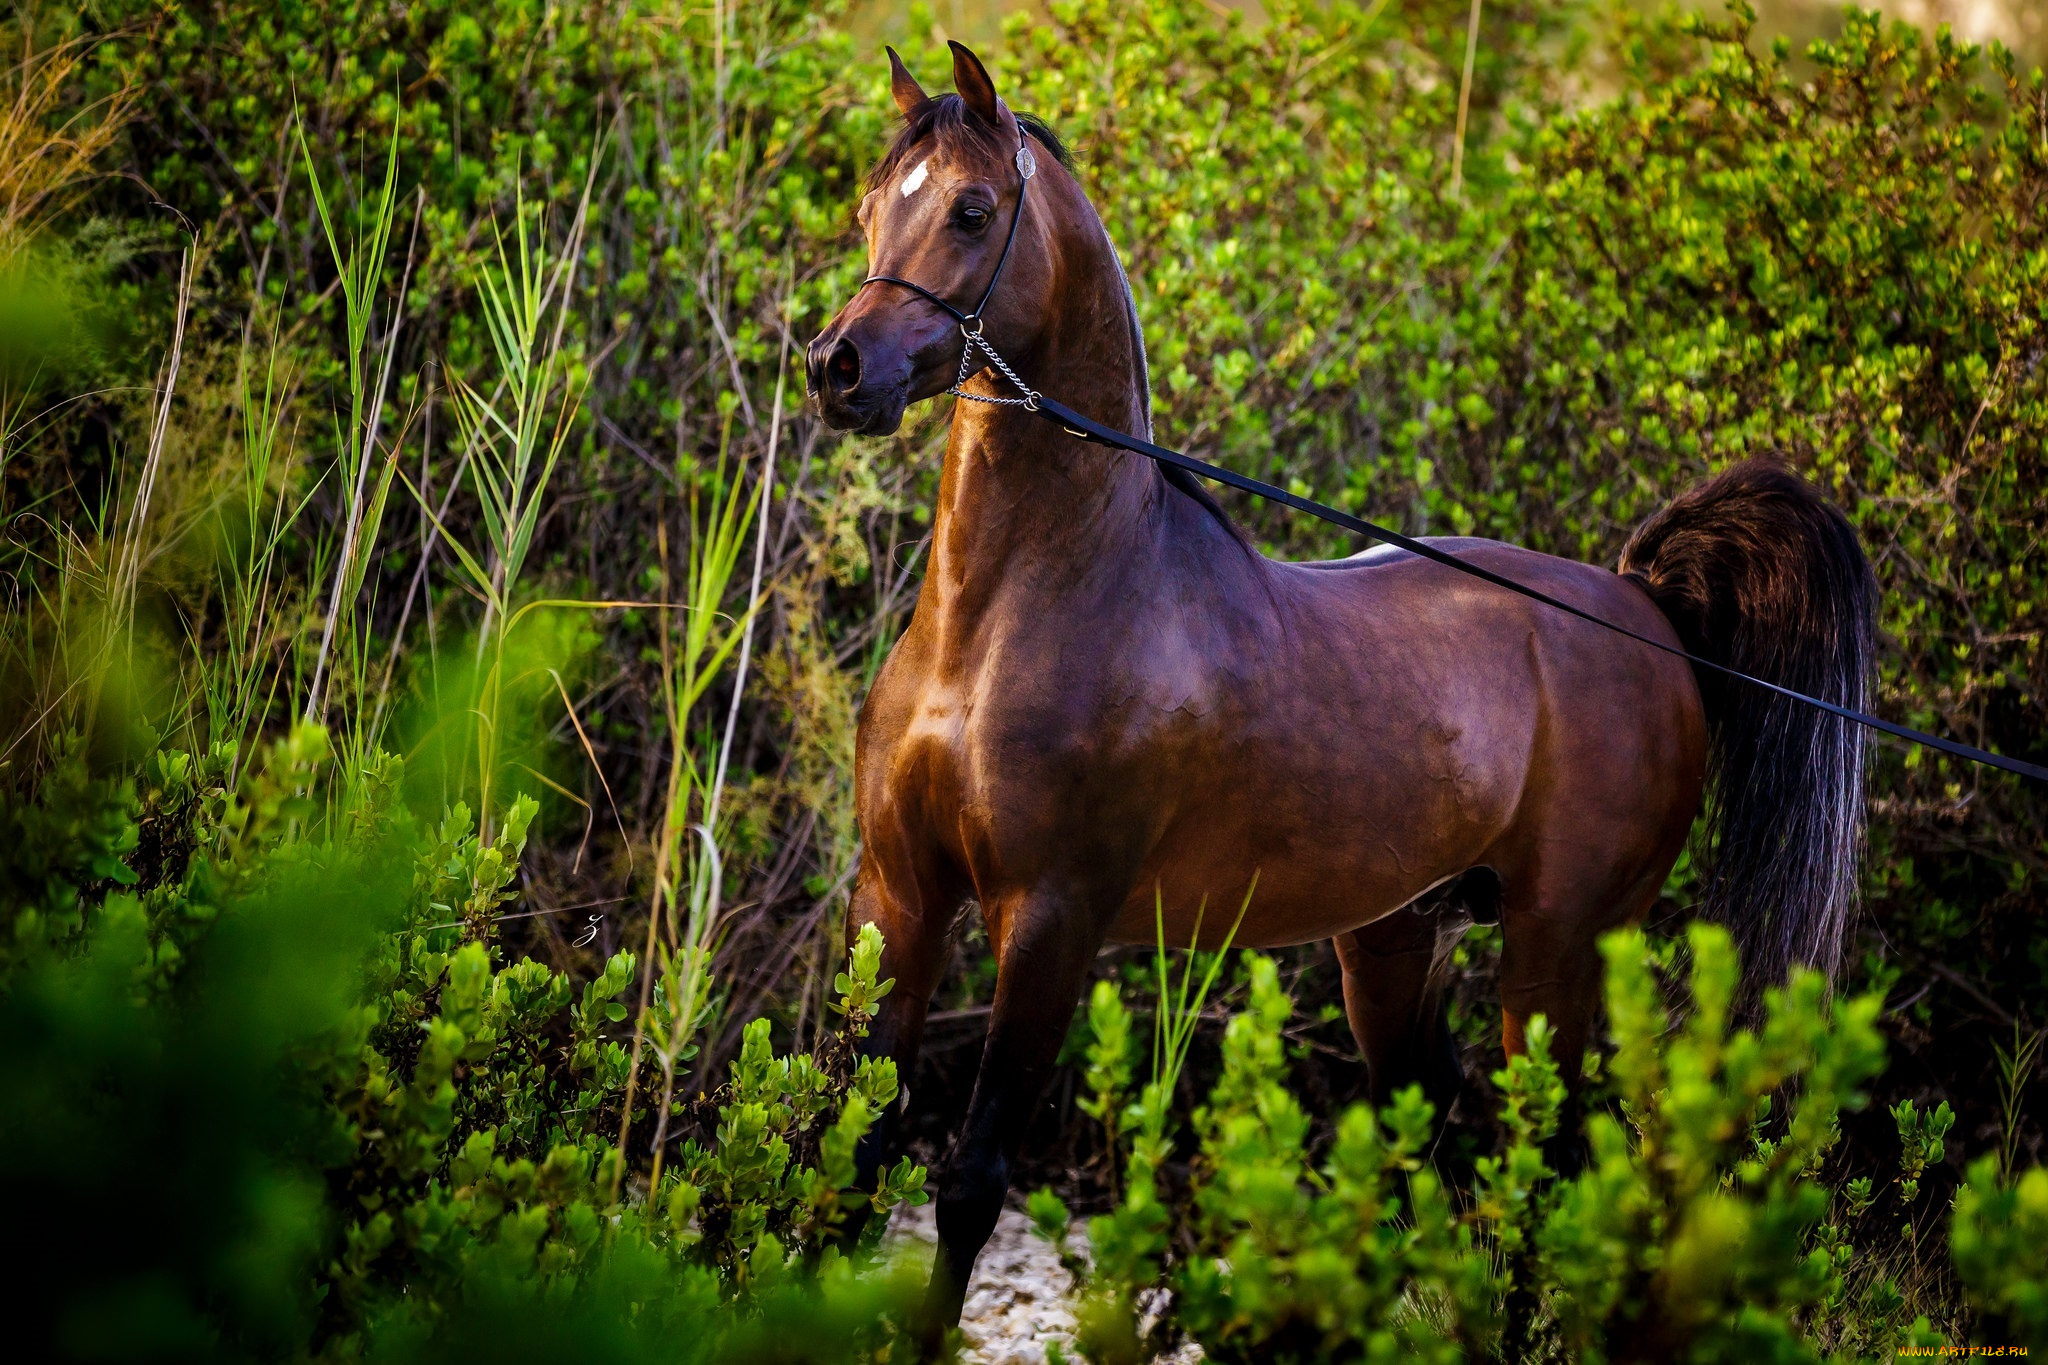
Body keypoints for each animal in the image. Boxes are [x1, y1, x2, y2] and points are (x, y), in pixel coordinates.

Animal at [794, 40, 1875, 1334]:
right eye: (868, 206)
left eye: (968, 209)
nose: (836, 368)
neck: (1008, 614)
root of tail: (1641, 604)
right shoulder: (900, 898)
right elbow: (847, 1157)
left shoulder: (1048, 920)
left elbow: (966, 1184)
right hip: (1392, 951)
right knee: (1452, 1158)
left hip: (1558, 951)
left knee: (1559, 1164)